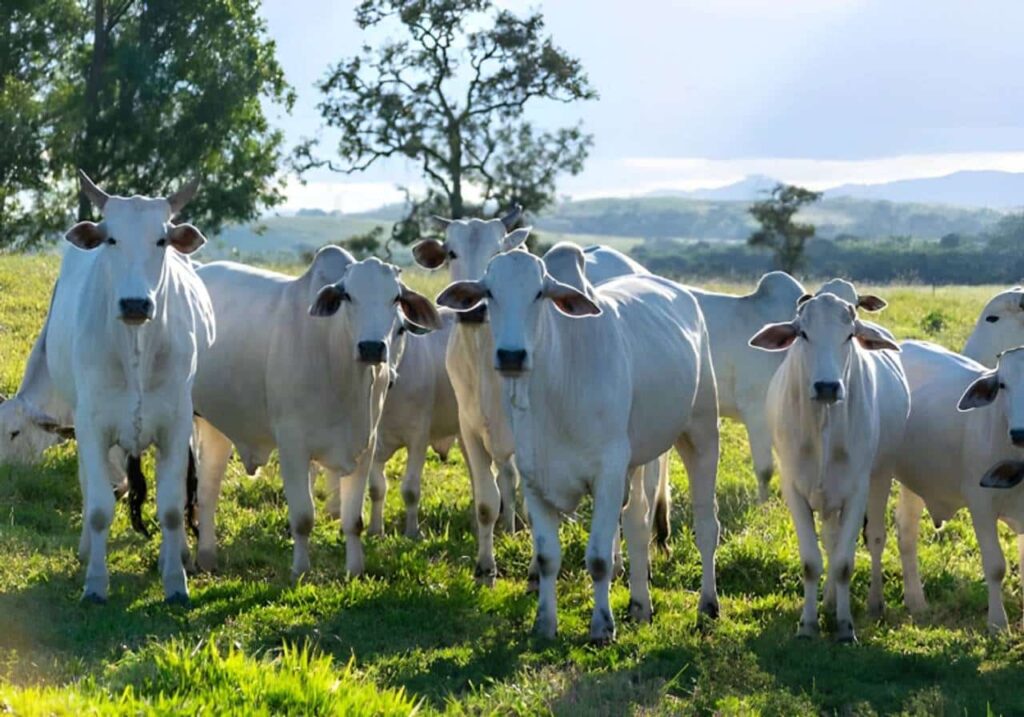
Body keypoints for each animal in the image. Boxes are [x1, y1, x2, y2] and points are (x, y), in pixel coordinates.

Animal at [46, 171, 214, 602]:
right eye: (111, 239)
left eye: (161, 240)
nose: (136, 304)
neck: (136, 349)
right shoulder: (91, 426)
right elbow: (99, 508)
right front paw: (95, 583)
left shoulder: (176, 425)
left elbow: (171, 509)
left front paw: (175, 580)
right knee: (89, 488)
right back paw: (85, 549)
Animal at [192, 247, 440, 577]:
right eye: (347, 295)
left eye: (396, 297)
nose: (372, 347)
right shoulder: (293, 447)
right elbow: (303, 518)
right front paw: (300, 570)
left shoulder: (365, 447)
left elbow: (353, 520)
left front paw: (355, 570)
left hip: (216, 428)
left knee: (208, 491)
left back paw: (206, 557)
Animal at [438, 247, 720, 643]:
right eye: (490, 292)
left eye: (539, 293)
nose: (511, 355)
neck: (556, 384)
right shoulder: (535, 477)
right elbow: (547, 558)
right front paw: (544, 623)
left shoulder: (607, 474)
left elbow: (599, 559)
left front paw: (601, 626)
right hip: (637, 460)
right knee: (637, 523)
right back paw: (640, 605)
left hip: (701, 433)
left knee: (705, 524)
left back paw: (708, 605)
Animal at [749, 294, 909, 643]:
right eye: (803, 334)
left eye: (849, 336)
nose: (827, 387)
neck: (822, 425)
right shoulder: (794, 489)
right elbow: (812, 561)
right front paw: (808, 624)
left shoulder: (857, 491)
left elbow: (843, 564)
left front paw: (845, 627)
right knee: (831, 542)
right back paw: (829, 601)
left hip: (881, 475)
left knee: (873, 539)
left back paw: (872, 603)